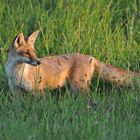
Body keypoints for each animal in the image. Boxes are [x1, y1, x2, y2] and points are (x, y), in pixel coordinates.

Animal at [5, 30, 140, 96]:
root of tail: (90, 57)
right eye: (27, 53)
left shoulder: (38, 91)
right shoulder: (16, 92)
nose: (38, 62)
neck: (17, 74)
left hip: (78, 87)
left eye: (34, 52)